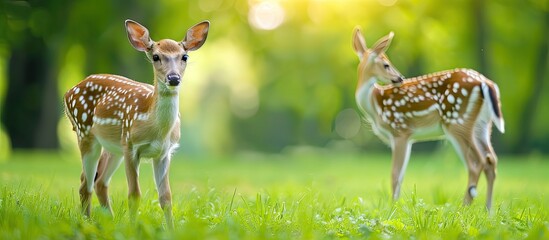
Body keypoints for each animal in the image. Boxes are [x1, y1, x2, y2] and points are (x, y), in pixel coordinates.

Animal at [63, 19, 210, 227]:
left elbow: (166, 197)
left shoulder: (164, 153)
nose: (173, 78)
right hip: (85, 133)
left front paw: (171, 229)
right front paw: (133, 228)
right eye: (156, 56)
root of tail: (68, 91)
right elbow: (134, 195)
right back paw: (88, 223)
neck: (157, 129)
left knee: (98, 182)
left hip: (113, 147)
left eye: (184, 57)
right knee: (86, 185)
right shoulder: (131, 146)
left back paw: (109, 221)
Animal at [352, 27, 506, 210]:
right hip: (483, 125)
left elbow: (395, 174)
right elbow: (401, 175)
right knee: (491, 160)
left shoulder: (400, 130)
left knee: (476, 163)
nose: (400, 78)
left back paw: (464, 208)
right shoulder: (407, 137)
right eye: (386, 64)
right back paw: (488, 210)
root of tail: (486, 83)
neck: (374, 104)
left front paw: (393, 206)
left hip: (457, 122)